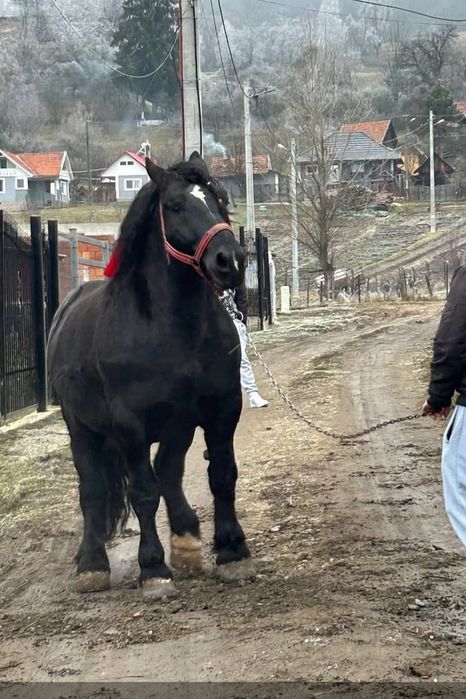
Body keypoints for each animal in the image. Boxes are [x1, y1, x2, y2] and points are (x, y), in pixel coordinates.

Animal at [48, 152, 253, 599]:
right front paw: (153, 568)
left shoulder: (222, 409)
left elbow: (222, 474)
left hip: (177, 427)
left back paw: (187, 539)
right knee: (93, 490)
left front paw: (231, 550)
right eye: (174, 206)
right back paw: (92, 563)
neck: (172, 331)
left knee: (170, 475)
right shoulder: (130, 425)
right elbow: (143, 493)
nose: (230, 261)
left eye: (220, 200)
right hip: (81, 428)